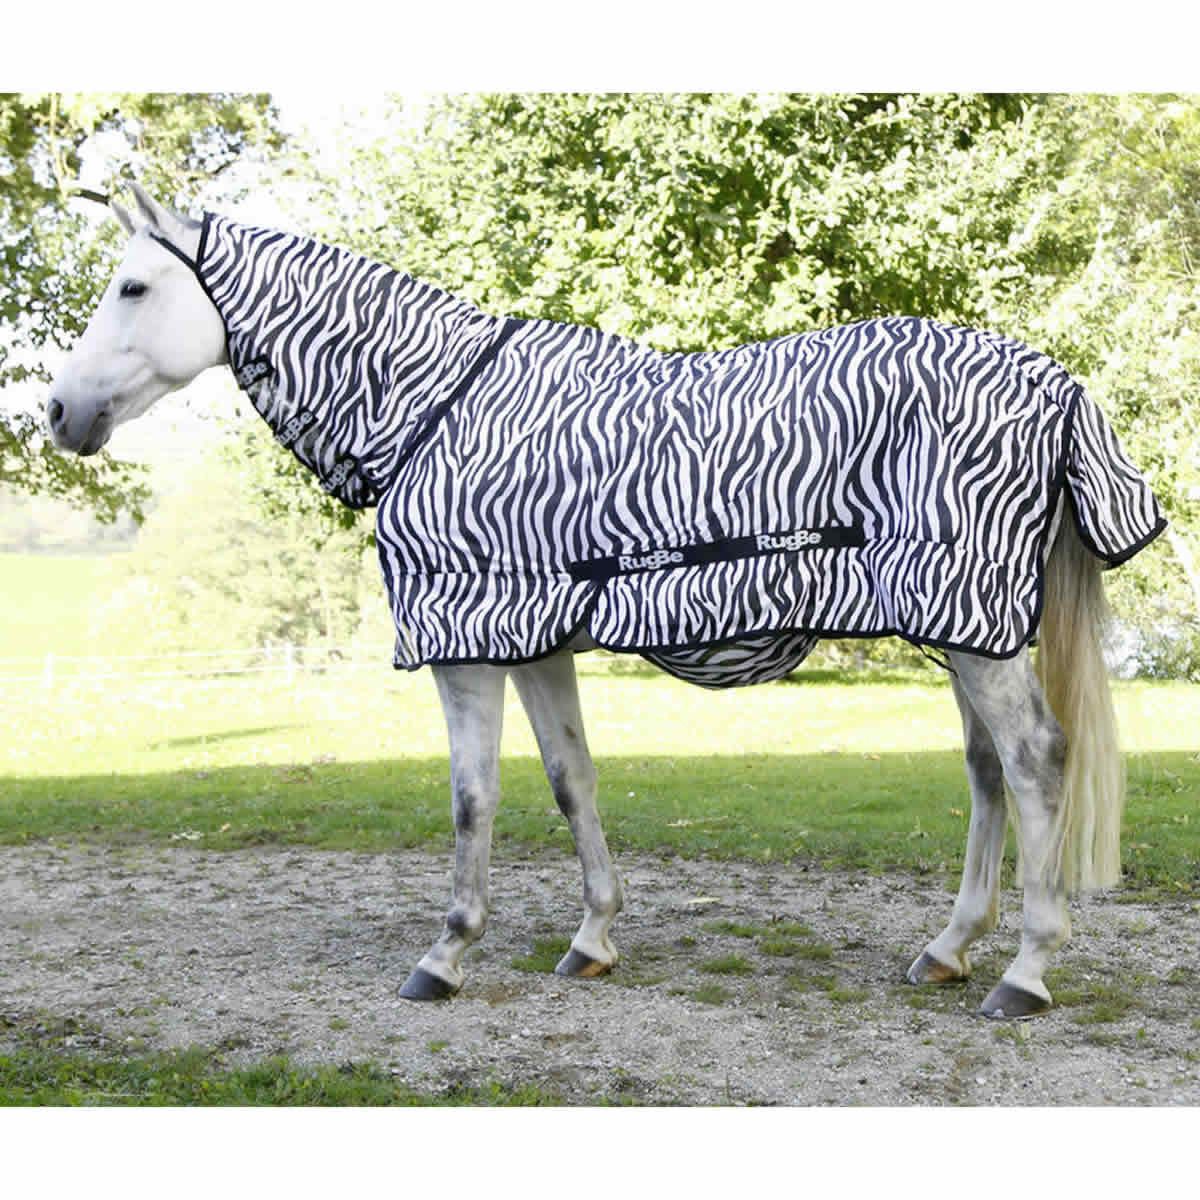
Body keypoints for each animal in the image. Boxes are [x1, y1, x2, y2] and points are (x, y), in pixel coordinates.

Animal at [46, 183, 1166, 1017]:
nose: (58, 411)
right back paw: (949, 948)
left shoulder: (466, 644)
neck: (432, 408)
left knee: (1036, 761)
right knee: (987, 771)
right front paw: (592, 938)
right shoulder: (535, 638)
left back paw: (1025, 972)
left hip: (973, 630)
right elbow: (570, 780)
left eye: (134, 285)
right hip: (958, 623)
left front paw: (445, 956)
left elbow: (473, 799)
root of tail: (1057, 383)